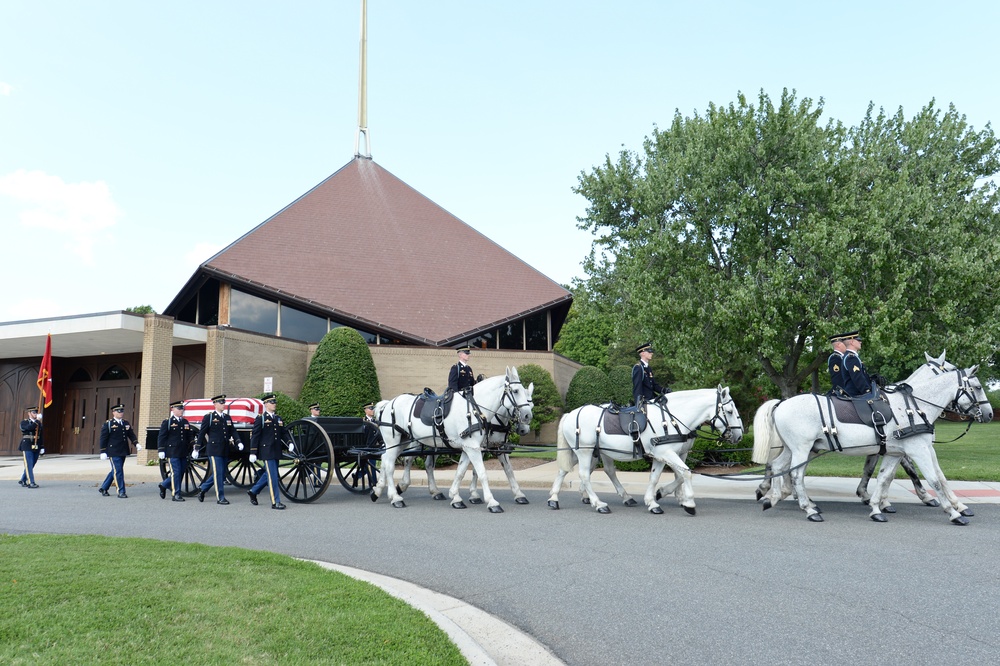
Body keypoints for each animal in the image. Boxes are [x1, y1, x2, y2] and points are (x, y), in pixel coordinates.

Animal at [374, 366, 532, 510]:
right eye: (516, 391)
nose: (527, 416)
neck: (475, 409)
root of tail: (388, 404)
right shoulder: (474, 448)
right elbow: (481, 473)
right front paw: (491, 501)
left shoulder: (472, 447)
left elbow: (461, 471)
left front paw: (456, 497)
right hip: (394, 441)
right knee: (391, 465)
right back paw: (395, 497)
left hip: (403, 441)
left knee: (386, 460)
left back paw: (379, 490)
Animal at [548, 386, 744, 516]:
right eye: (729, 411)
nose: (739, 435)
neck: (672, 418)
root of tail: (571, 414)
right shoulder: (667, 453)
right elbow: (686, 473)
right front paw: (688, 503)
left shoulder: (664, 455)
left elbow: (658, 477)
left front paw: (654, 500)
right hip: (584, 451)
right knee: (583, 474)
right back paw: (598, 503)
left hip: (592, 452)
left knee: (569, 470)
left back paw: (555, 499)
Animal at [752, 360, 988, 520]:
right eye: (977, 387)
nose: (987, 414)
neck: (913, 407)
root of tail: (781, 403)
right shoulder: (917, 450)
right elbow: (934, 480)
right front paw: (953, 511)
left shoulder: (898, 451)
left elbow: (885, 477)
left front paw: (876, 506)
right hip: (802, 449)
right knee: (795, 474)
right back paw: (807, 508)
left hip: (796, 448)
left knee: (778, 466)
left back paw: (775, 497)